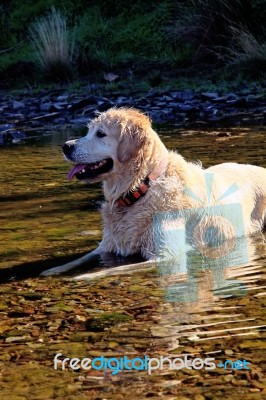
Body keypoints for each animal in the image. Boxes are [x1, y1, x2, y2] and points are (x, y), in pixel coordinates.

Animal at [41, 107, 266, 278]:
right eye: (89, 131)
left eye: (101, 134)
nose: (66, 146)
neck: (142, 187)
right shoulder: (108, 244)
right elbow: (81, 257)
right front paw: (53, 270)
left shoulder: (166, 254)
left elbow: (109, 270)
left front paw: (81, 278)